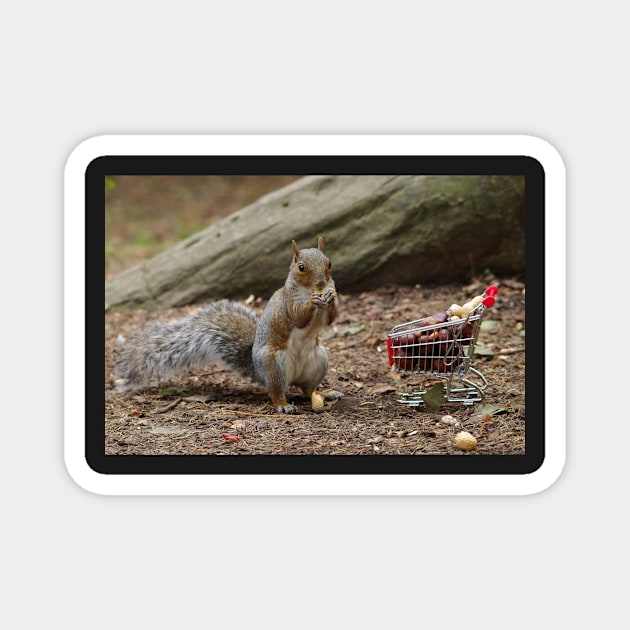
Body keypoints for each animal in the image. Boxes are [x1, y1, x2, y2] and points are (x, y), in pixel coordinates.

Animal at [111, 238, 344, 414]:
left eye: (329, 263)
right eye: (301, 267)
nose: (321, 284)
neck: (307, 290)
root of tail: (260, 372)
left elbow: (330, 319)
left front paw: (332, 297)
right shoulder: (288, 302)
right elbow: (299, 317)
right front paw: (313, 301)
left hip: (318, 359)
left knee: (308, 389)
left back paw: (325, 393)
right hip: (275, 363)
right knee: (275, 392)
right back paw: (283, 404)